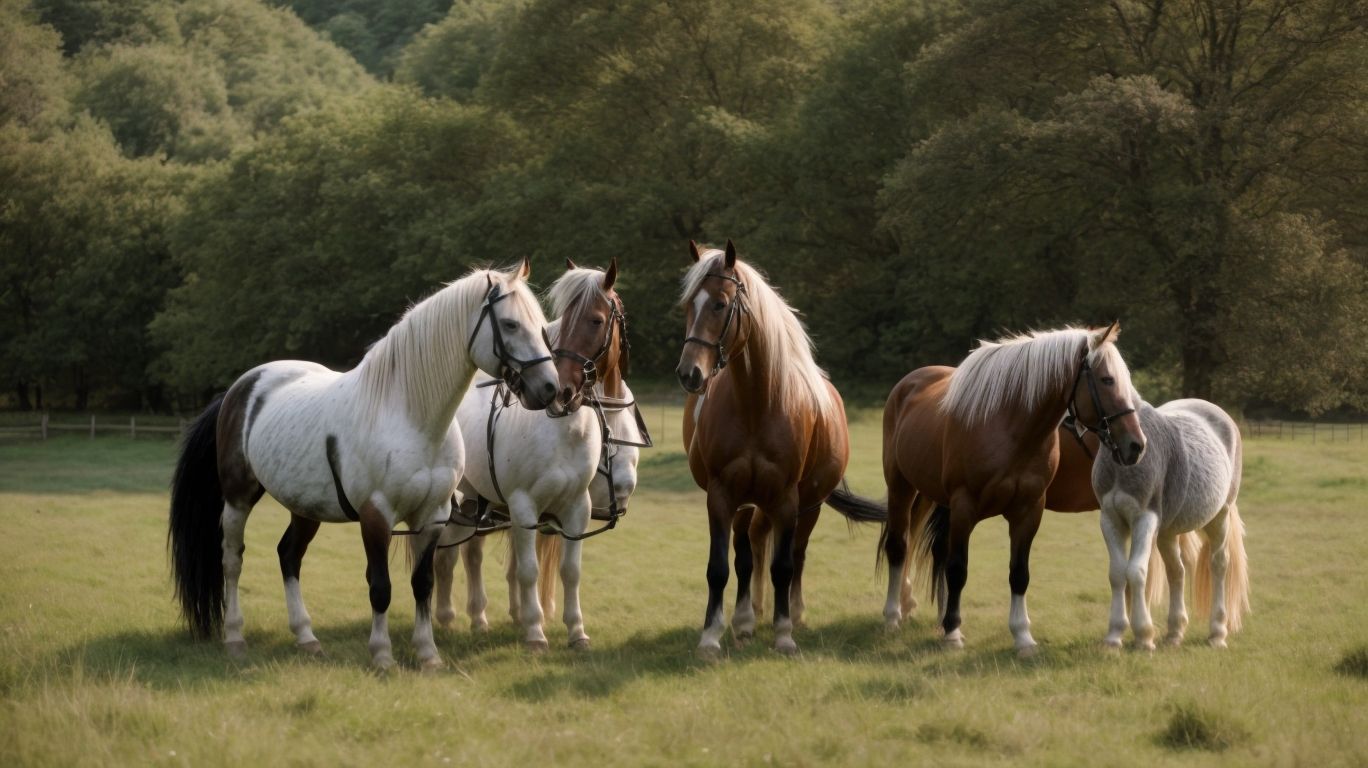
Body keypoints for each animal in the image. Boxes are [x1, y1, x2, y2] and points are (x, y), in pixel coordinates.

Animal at [167, 261, 560, 671]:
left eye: (540, 325)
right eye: (511, 325)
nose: (550, 388)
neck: (410, 417)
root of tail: (240, 388)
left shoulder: (433, 516)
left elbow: (423, 584)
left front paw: (428, 654)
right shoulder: (377, 515)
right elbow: (380, 586)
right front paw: (383, 655)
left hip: (304, 507)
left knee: (289, 556)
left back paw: (306, 637)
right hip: (238, 498)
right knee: (232, 558)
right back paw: (235, 637)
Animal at [434, 260, 637, 650]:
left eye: (596, 320)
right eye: (559, 320)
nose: (562, 388)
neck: (563, 430)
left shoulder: (577, 508)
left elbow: (570, 571)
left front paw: (576, 631)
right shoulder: (524, 506)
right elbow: (528, 570)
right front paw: (534, 631)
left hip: (476, 501)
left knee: (470, 553)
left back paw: (476, 618)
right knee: (447, 553)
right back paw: (447, 617)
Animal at [675, 240, 886, 658]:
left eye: (720, 304)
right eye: (689, 305)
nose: (690, 373)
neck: (758, 405)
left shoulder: (788, 499)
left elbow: (784, 566)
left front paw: (784, 633)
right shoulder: (722, 496)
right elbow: (721, 567)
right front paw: (712, 635)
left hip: (808, 505)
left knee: (796, 554)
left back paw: (793, 613)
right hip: (749, 503)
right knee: (748, 550)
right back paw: (745, 619)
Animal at [883, 323, 1146, 656]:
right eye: (1107, 379)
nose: (1136, 445)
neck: (1010, 428)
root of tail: (908, 384)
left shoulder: (1028, 510)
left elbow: (1019, 574)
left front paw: (1022, 636)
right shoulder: (964, 506)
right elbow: (958, 569)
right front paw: (954, 633)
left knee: (938, 550)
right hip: (901, 487)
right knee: (898, 547)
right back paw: (894, 616)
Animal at [1092, 398, 1249, 650]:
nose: (1134, 447)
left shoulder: (1145, 519)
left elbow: (1136, 572)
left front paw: (1144, 637)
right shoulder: (1110, 519)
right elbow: (1118, 574)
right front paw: (1114, 637)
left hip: (1219, 517)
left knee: (1218, 564)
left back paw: (1217, 633)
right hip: (1167, 532)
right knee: (1177, 570)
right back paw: (1174, 633)